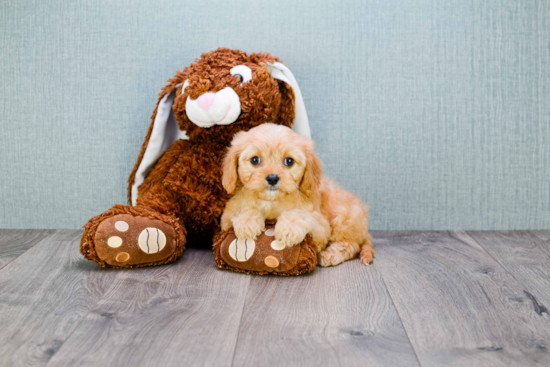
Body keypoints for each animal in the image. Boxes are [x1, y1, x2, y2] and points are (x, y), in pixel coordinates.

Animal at [221, 123, 376, 268]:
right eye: (255, 160)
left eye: (289, 161)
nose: (272, 178)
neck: (271, 201)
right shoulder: (225, 219)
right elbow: (241, 209)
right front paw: (247, 222)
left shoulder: (321, 228)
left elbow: (301, 214)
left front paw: (289, 228)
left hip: (343, 216)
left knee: (351, 244)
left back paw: (330, 255)